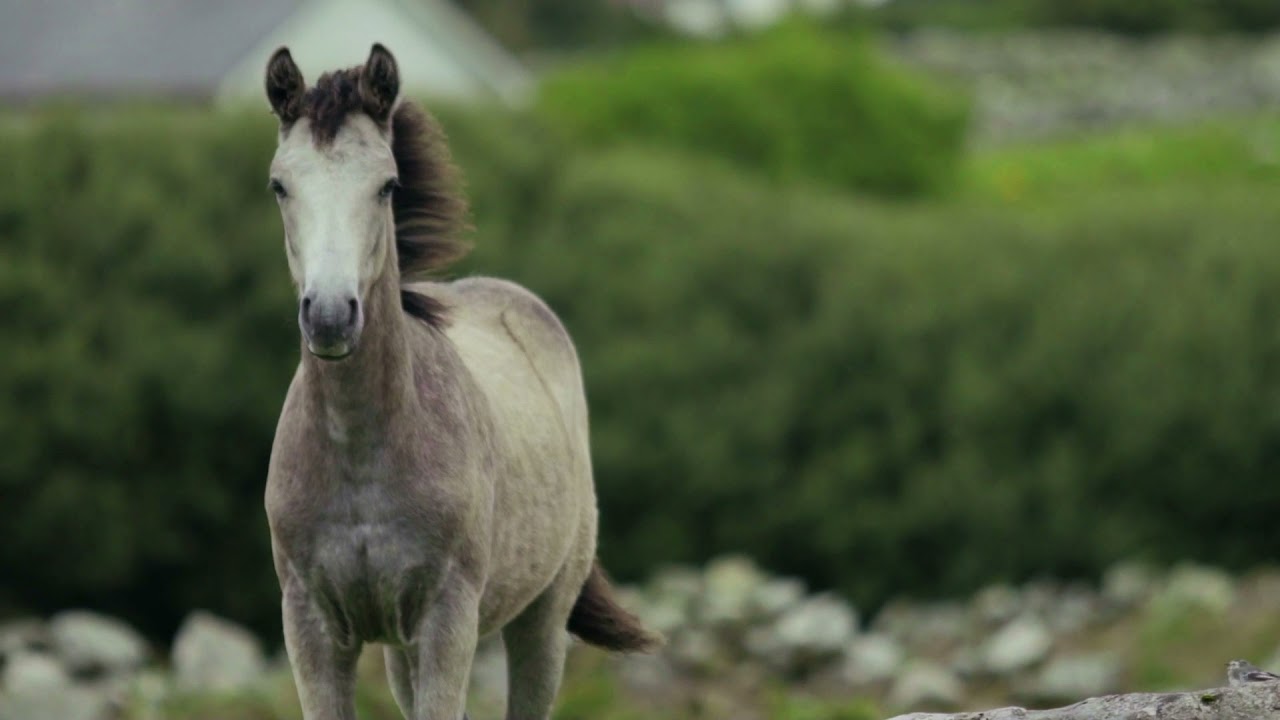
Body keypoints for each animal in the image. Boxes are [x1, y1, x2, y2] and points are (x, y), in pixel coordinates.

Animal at [261, 44, 659, 720]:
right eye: (280, 184)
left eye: (387, 185)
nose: (331, 315)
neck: (360, 455)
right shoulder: (309, 625)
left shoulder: (447, 622)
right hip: (400, 653)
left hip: (540, 622)